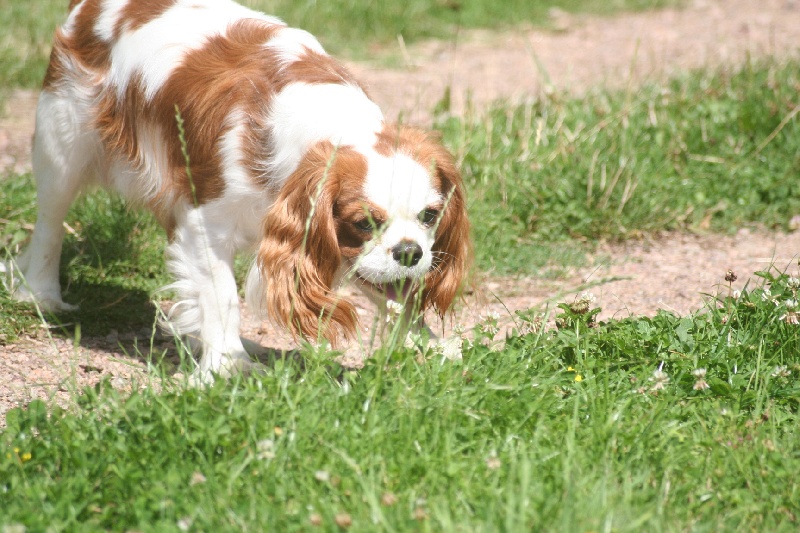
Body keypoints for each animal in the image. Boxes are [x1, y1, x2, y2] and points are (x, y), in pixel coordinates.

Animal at [9, 0, 472, 380]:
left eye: (431, 216)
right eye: (363, 223)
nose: (409, 252)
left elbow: (396, 300)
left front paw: (432, 348)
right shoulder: (204, 222)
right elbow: (222, 295)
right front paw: (226, 368)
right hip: (61, 143)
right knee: (50, 224)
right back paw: (42, 295)